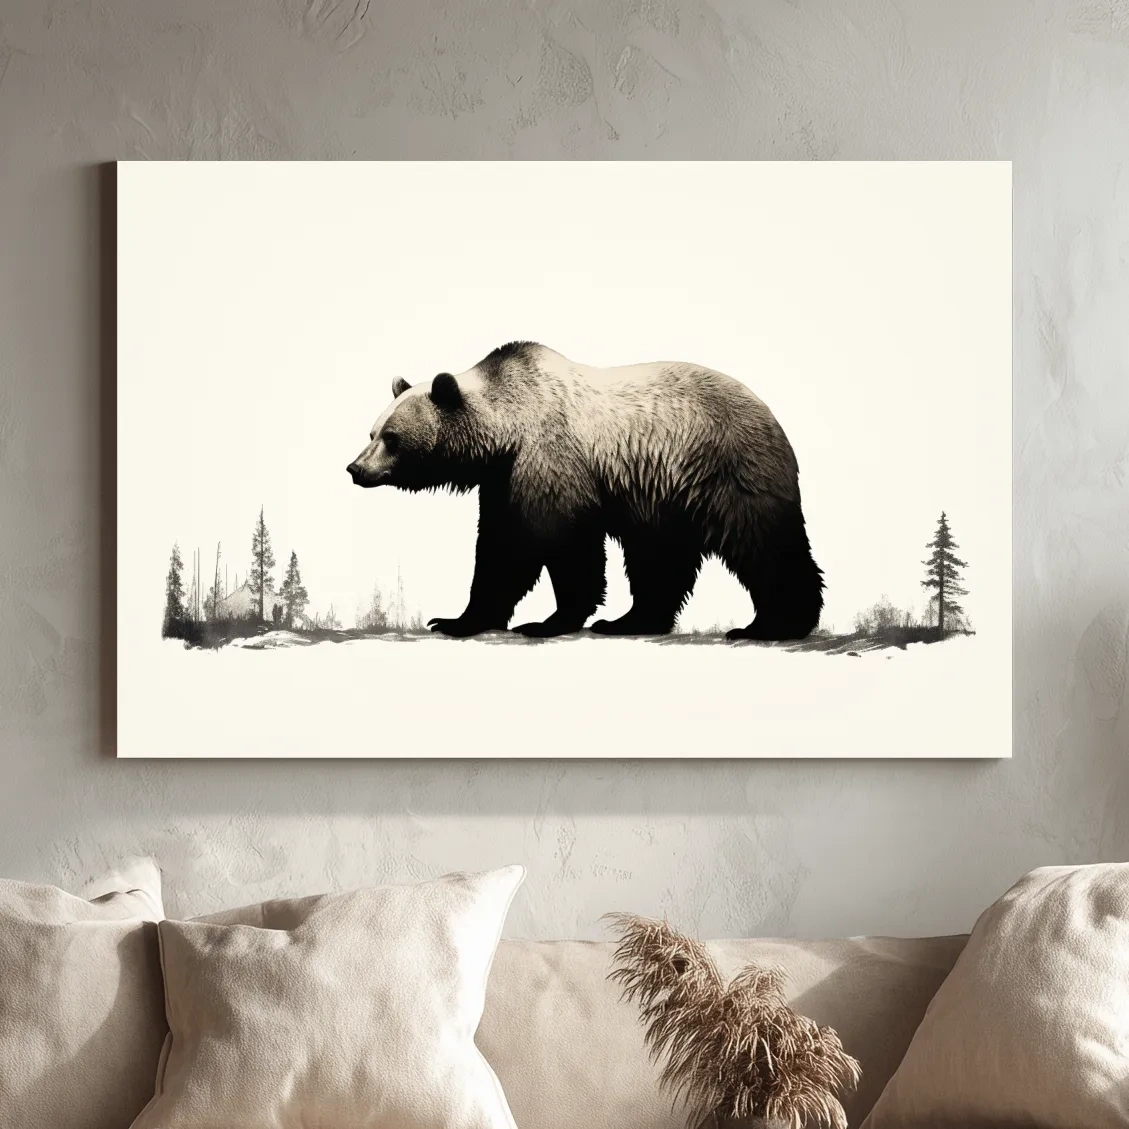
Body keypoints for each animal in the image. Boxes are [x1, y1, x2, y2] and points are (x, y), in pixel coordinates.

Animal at [346, 341, 823, 640]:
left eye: (391, 437)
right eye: (371, 432)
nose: (355, 468)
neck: (506, 433)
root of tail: (769, 414)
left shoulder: (549, 459)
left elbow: (558, 544)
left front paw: (548, 621)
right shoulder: (502, 478)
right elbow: (499, 549)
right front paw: (456, 619)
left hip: (724, 467)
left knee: (760, 541)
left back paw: (773, 625)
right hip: (662, 490)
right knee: (660, 557)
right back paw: (631, 620)